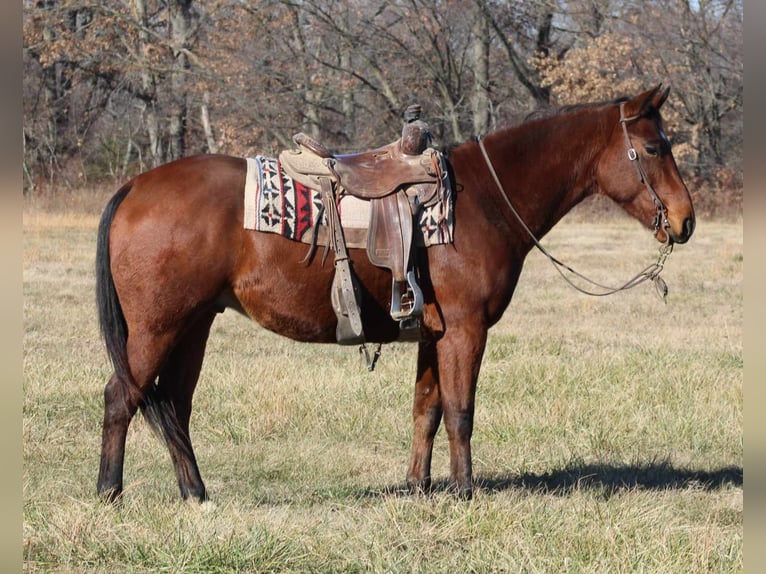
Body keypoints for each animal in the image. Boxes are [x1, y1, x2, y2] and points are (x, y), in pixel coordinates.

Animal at [94, 86, 696, 504]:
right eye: (654, 146)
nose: (685, 221)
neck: (483, 200)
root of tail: (135, 186)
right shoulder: (465, 329)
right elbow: (460, 410)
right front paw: (464, 490)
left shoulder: (433, 333)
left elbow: (425, 409)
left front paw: (418, 486)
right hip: (156, 328)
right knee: (122, 397)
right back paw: (109, 494)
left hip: (193, 326)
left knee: (174, 404)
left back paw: (196, 495)